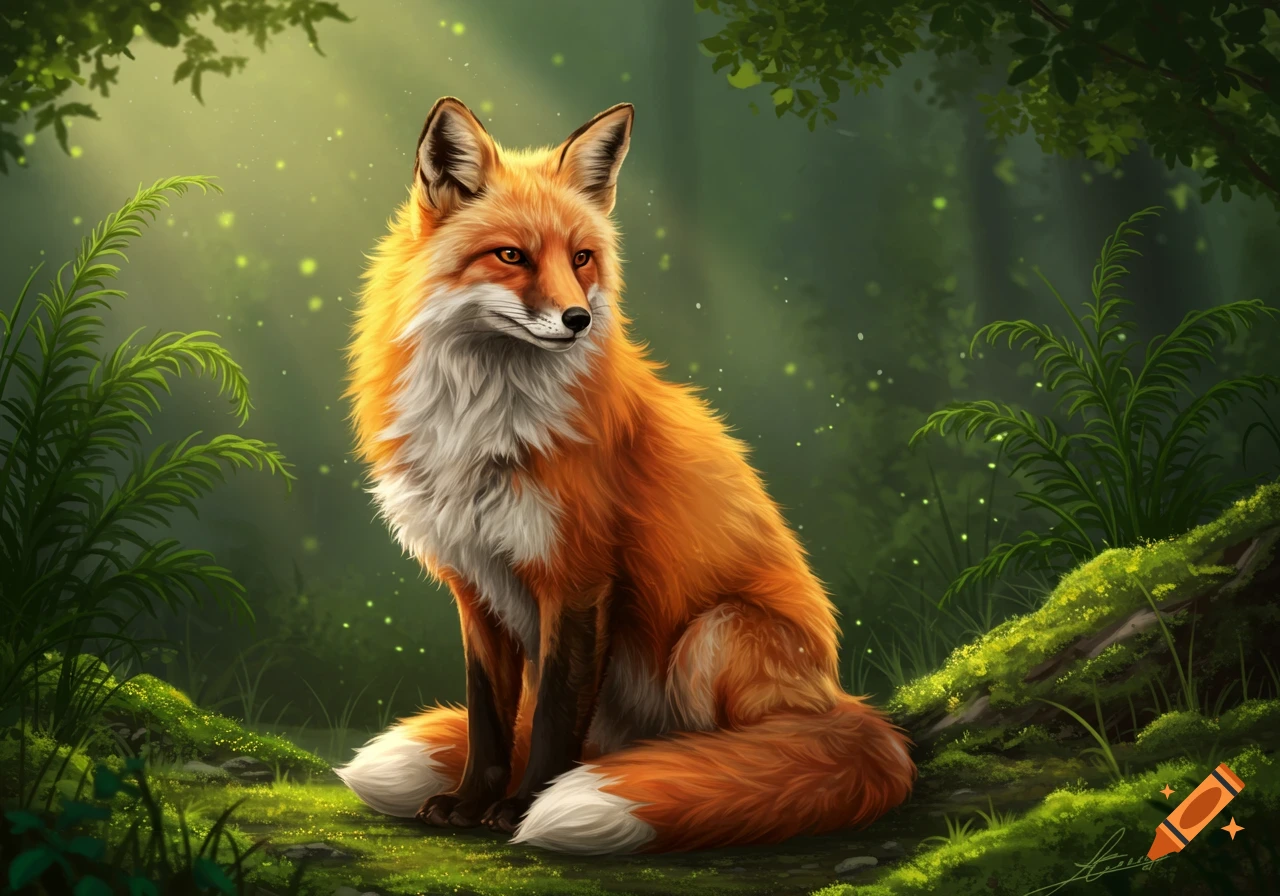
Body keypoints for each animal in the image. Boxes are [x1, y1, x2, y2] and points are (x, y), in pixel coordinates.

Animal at [336, 96, 916, 855]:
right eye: (511, 255)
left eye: (581, 258)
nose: (578, 319)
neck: (484, 425)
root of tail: (849, 703)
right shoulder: (476, 582)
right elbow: (489, 720)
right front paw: (469, 803)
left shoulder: (578, 575)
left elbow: (553, 718)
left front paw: (521, 809)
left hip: (712, 635)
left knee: (735, 752)